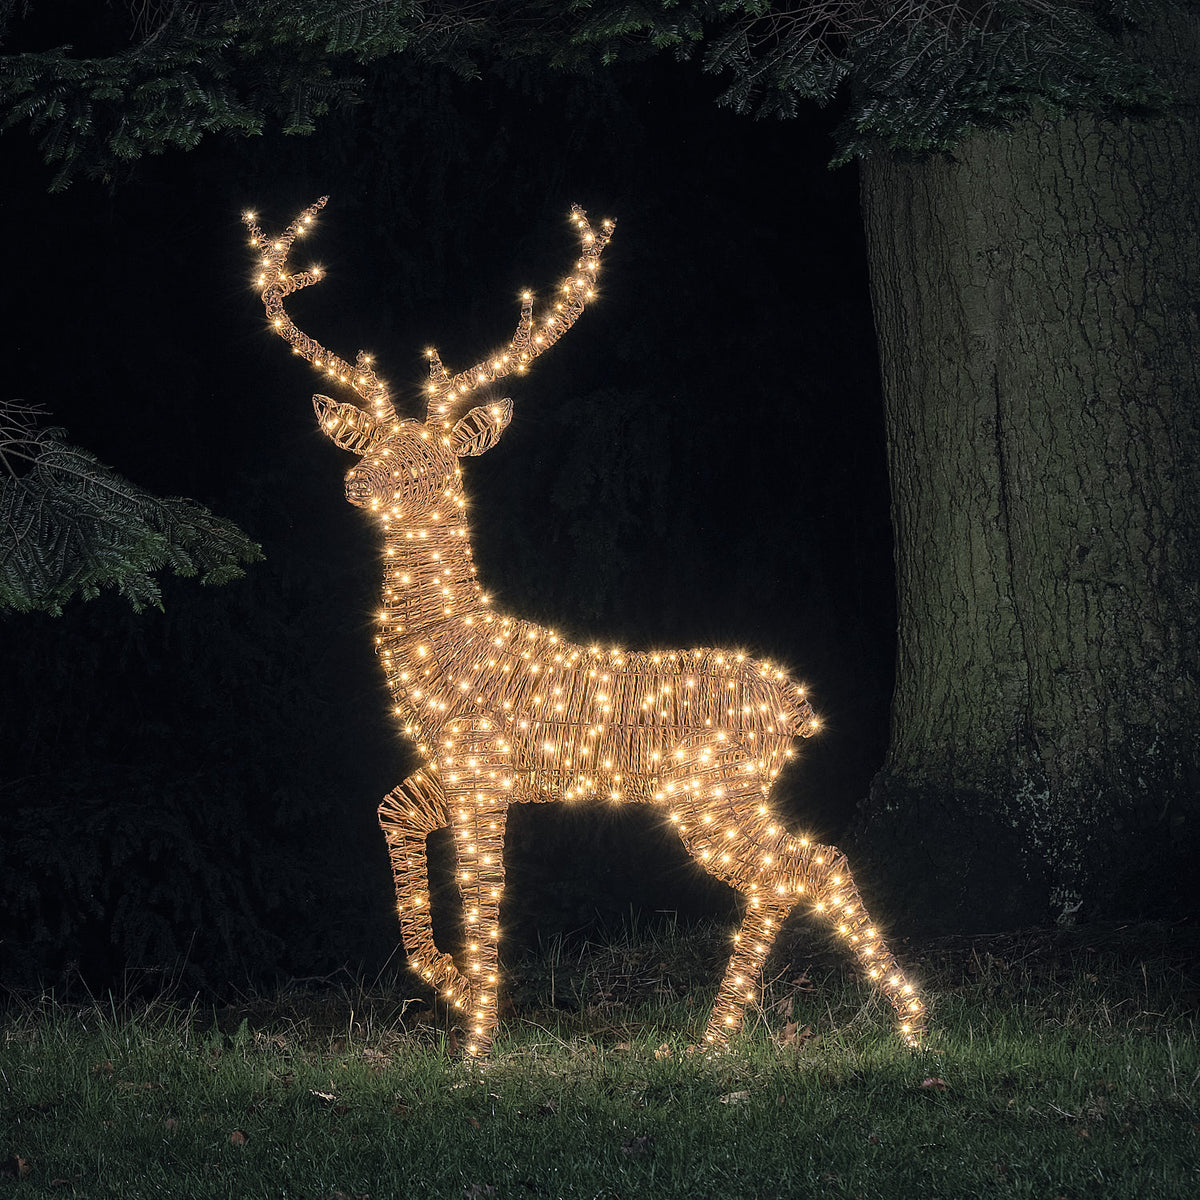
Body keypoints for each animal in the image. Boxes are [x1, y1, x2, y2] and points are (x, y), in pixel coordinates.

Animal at [244, 197, 927, 1056]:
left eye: (432, 458)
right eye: (375, 442)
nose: (359, 481)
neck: (448, 644)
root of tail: (797, 705)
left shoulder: (483, 768)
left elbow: (484, 889)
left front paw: (479, 1040)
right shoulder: (449, 769)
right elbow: (389, 815)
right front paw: (455, 987)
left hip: (713, 789)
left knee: (800, 865)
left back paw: (814, 1027)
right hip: (717, 793)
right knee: (806, 865)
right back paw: (800, 1028)